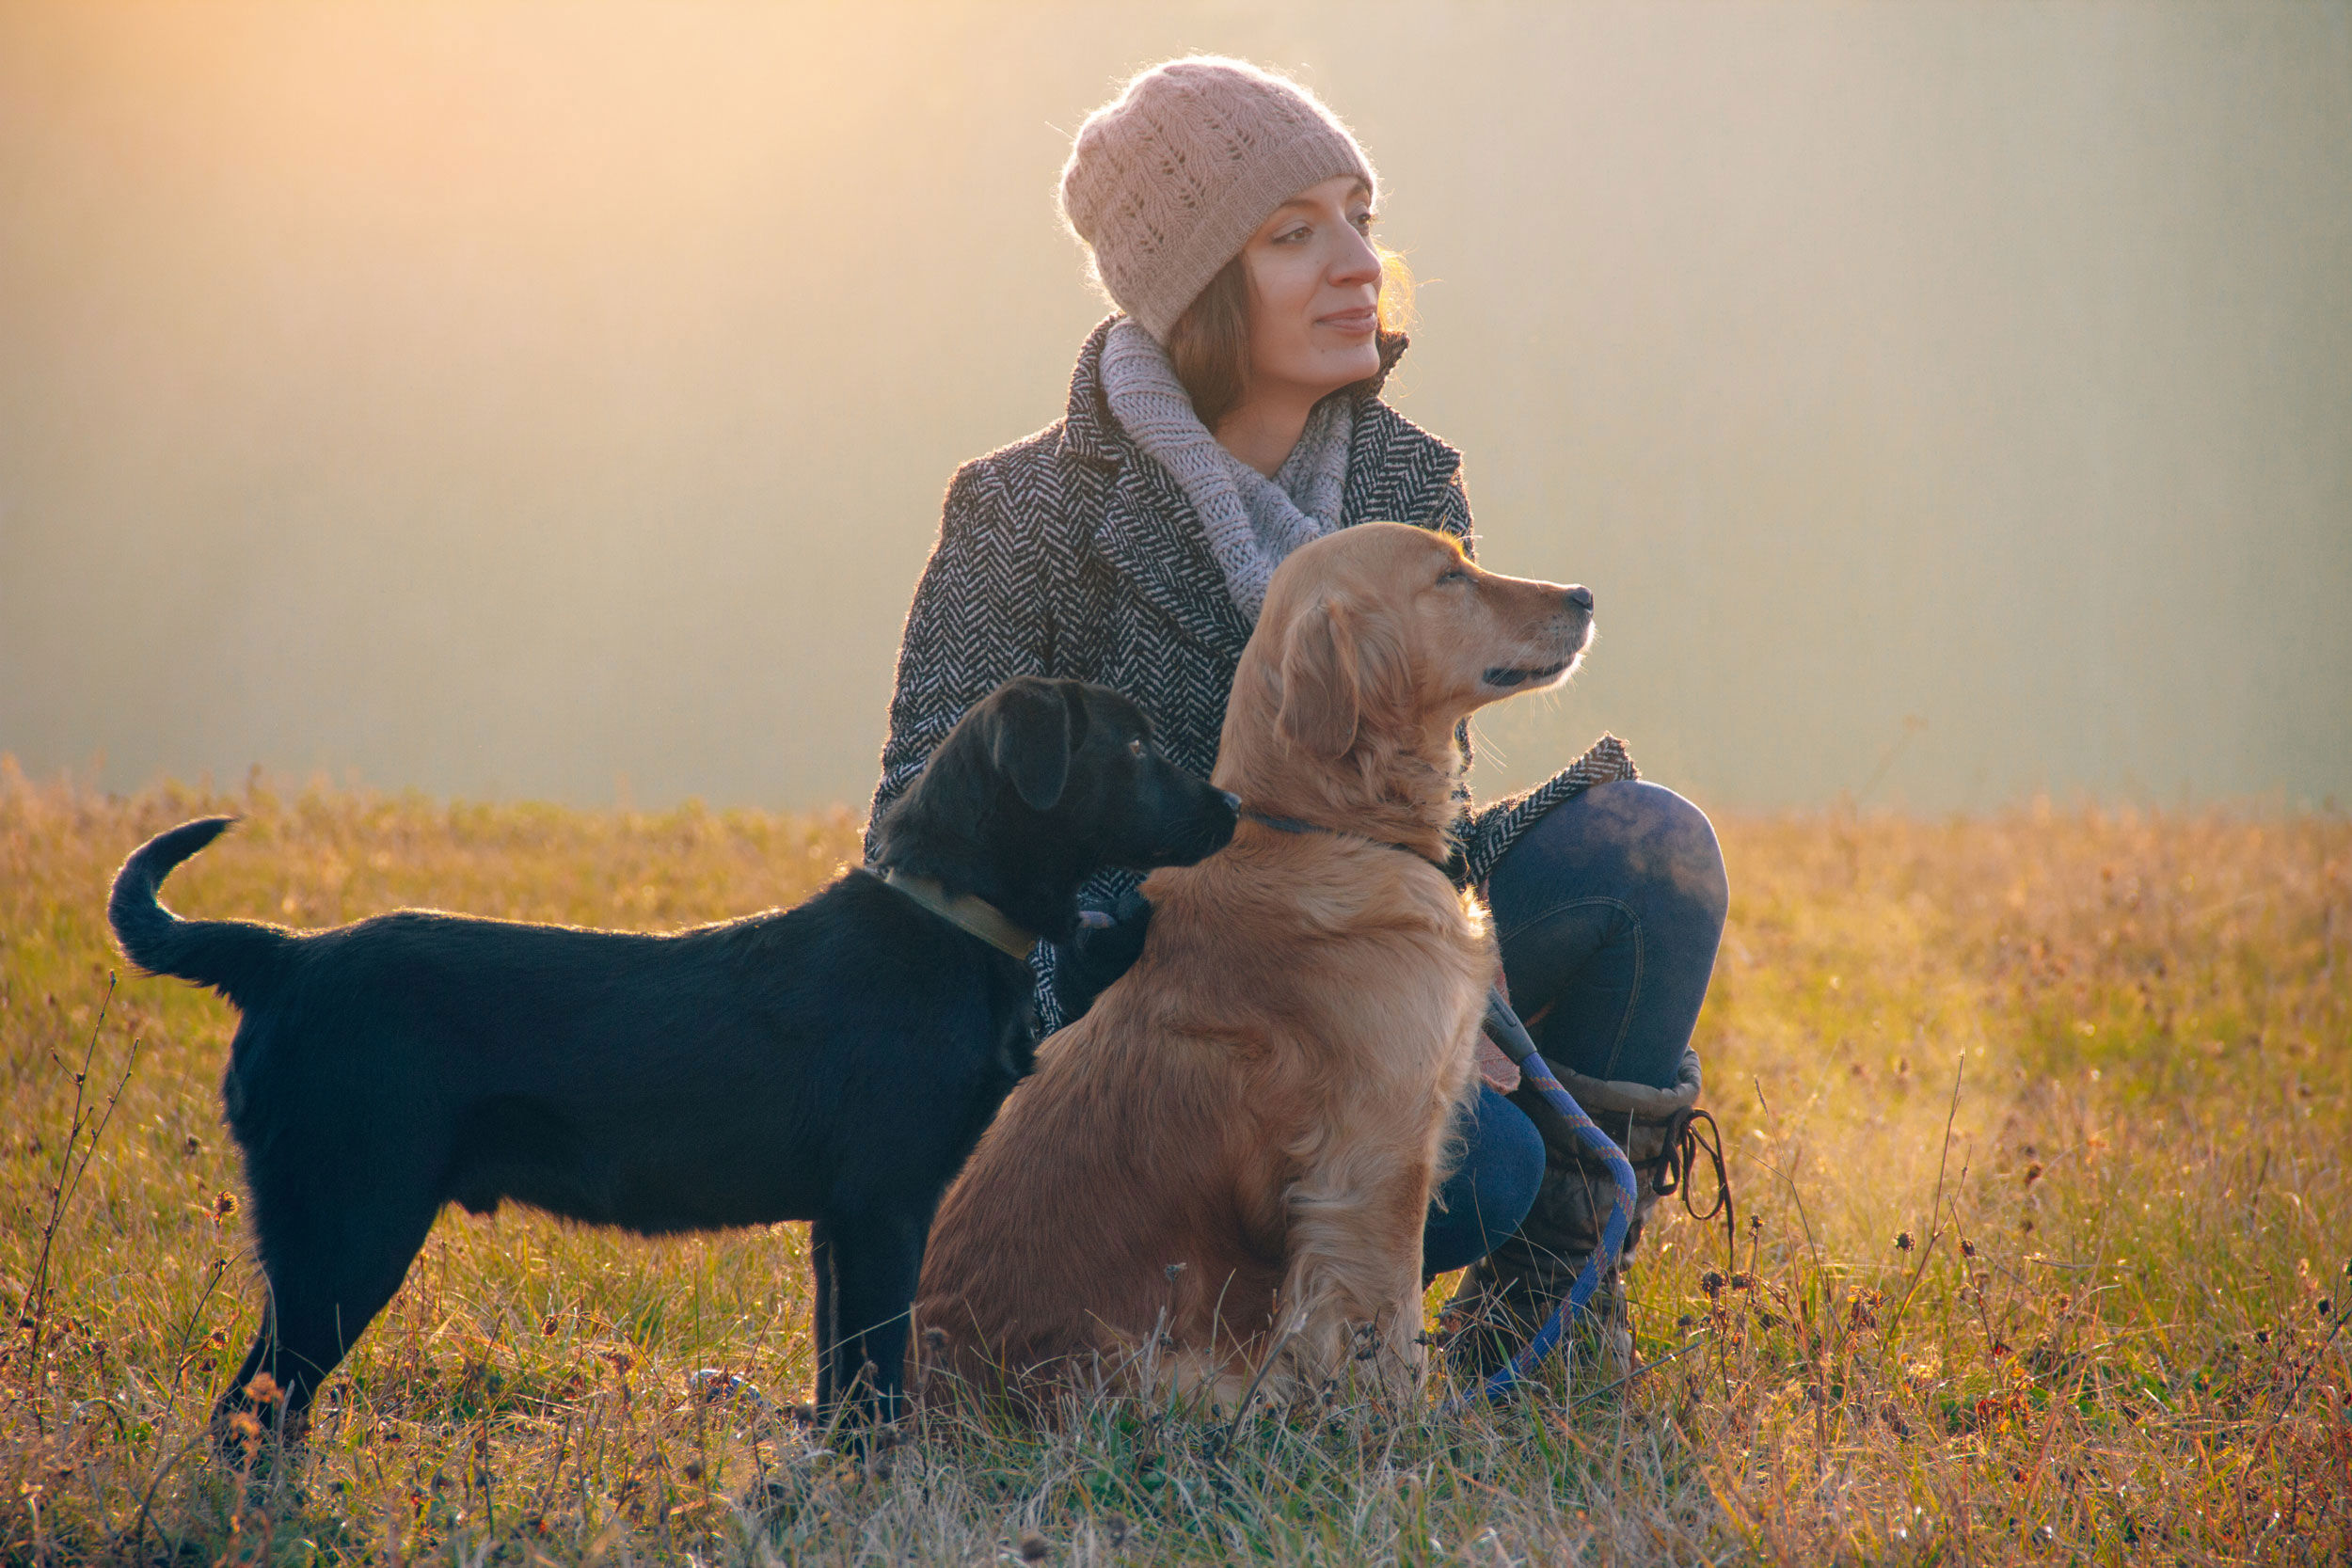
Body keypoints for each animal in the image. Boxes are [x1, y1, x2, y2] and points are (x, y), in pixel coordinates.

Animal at [101, 676, 1242, 1438]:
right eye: (1135, 744)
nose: (1233, 806)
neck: (945, 915)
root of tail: (284, 954)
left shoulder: (837, 1221)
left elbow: (840, 1367)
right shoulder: (886, 1204)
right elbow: (879, 1365)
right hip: (348, 1226)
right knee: (249, 1408)